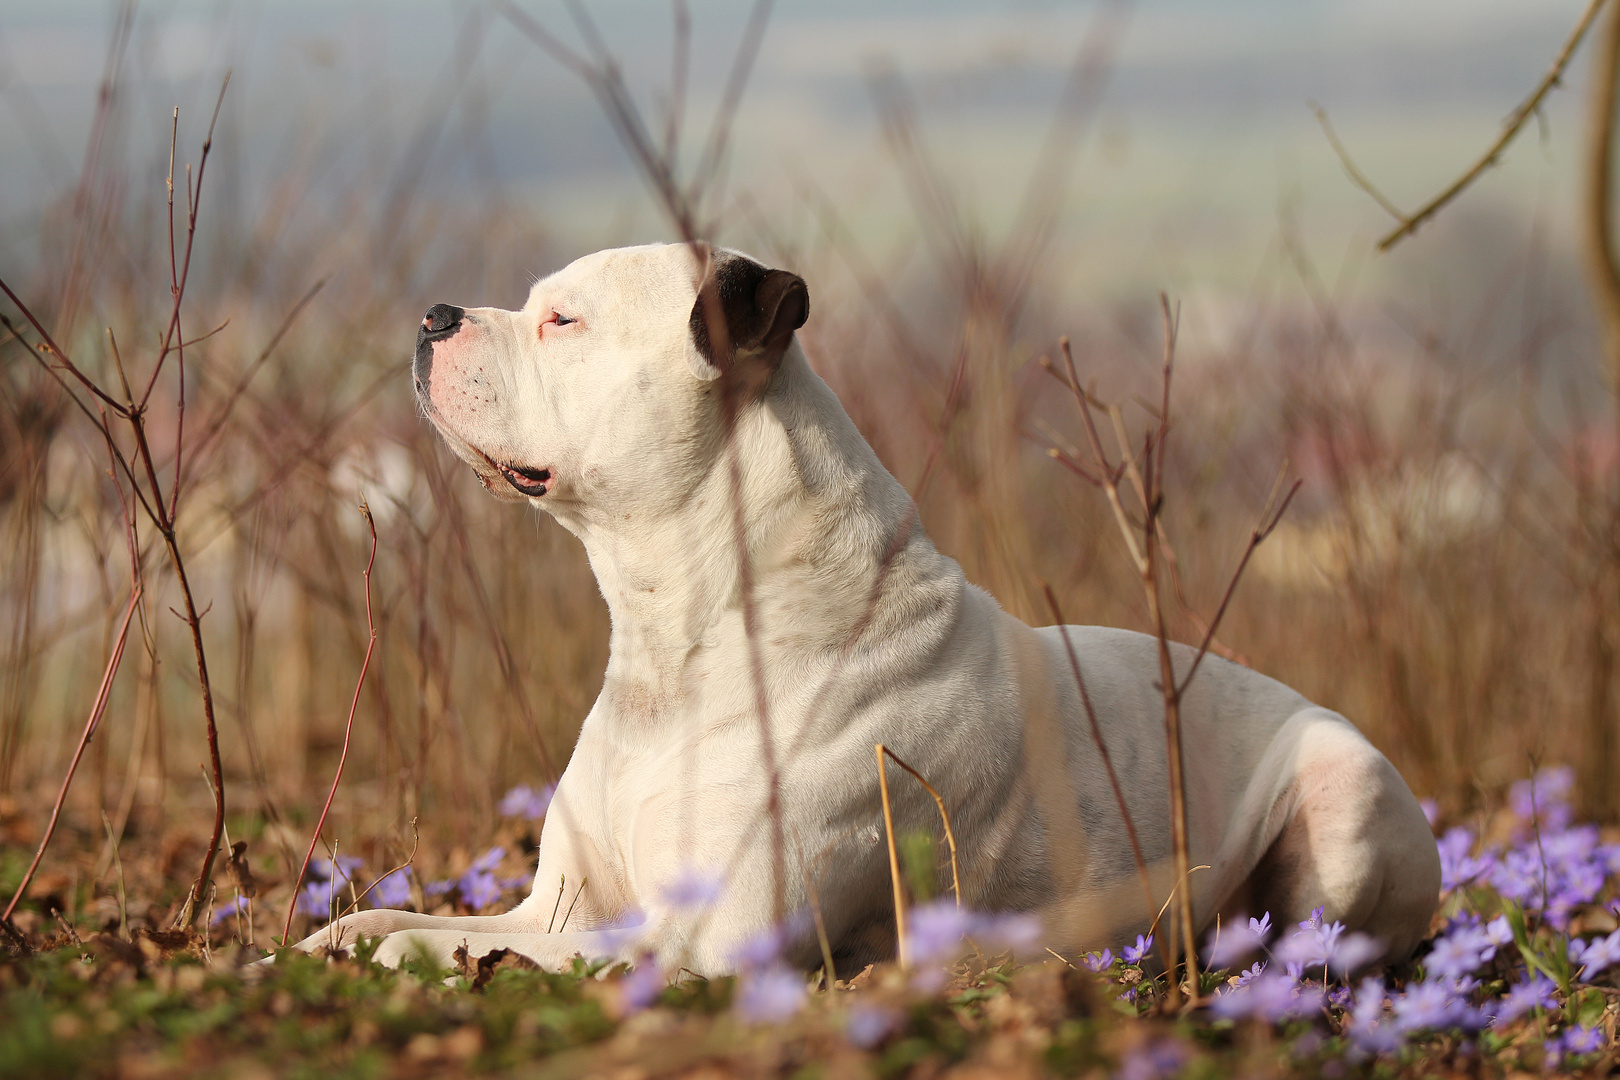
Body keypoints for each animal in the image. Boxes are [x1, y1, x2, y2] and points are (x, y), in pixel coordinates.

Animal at [294, 244, 1445, 977]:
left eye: (562, 319)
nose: (433, 315)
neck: (680, 637)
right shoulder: (558, 902)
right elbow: (415, 915)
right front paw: (327, 939)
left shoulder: (703, 943)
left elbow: (475, 947)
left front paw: (398, 952)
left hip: (1341, 791)